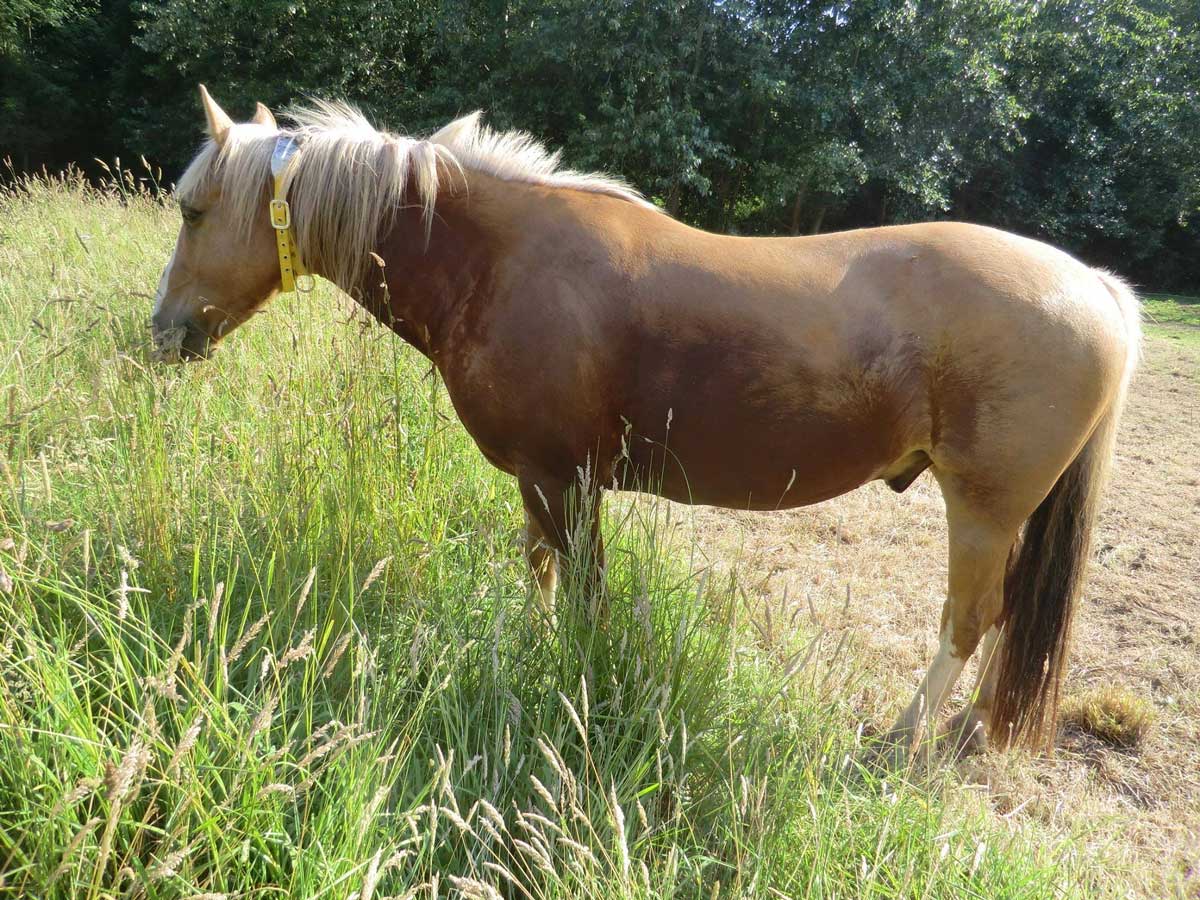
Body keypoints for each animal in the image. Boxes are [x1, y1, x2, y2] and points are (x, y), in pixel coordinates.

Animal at [151, 85, 1140, 760]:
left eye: (194, 210)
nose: (164, 333)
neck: (499, 262)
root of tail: (1093, 287)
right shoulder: (544, 480)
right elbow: (542, 575)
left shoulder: (564, 478)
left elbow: (582, 593)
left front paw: (575, 690)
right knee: (1009, 621)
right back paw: (972, 729)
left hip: (982, 508)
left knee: (970, 620)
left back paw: (901, 741)